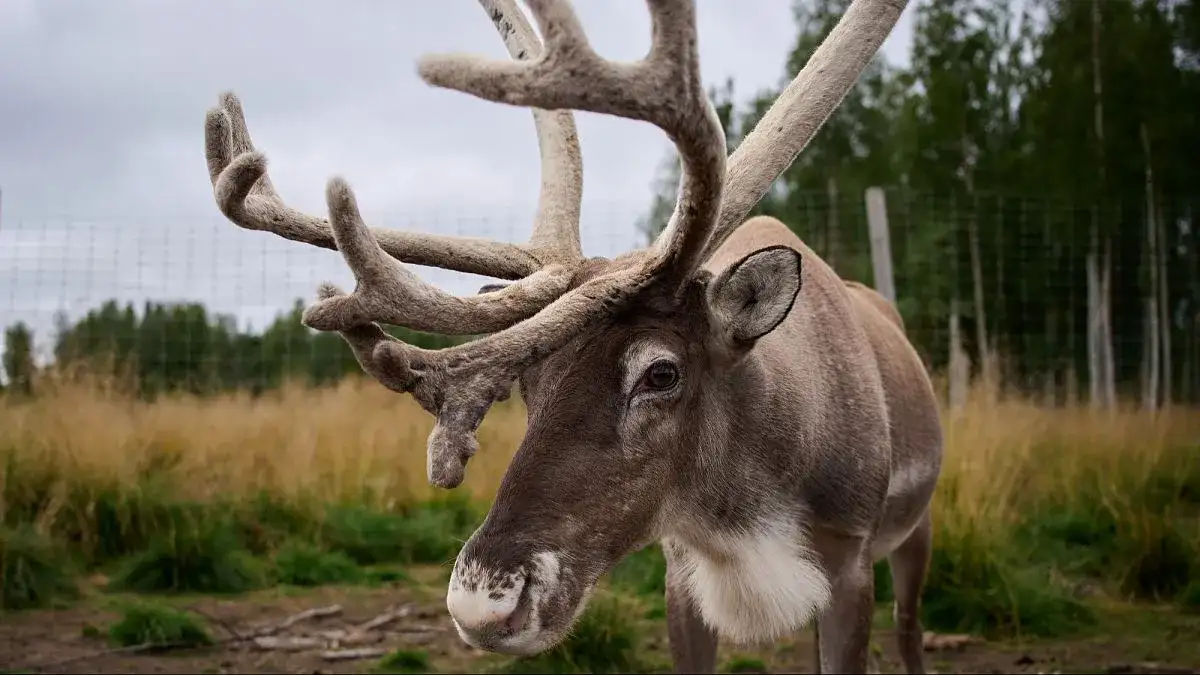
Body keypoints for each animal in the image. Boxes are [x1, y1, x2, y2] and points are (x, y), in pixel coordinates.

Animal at [199, 0, 940, 672]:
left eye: (661, 372)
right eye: (531, 379)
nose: (482, 602)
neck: (749, 524)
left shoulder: (850, 565)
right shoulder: (681, 577)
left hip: (918, 532)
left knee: (909, 635)